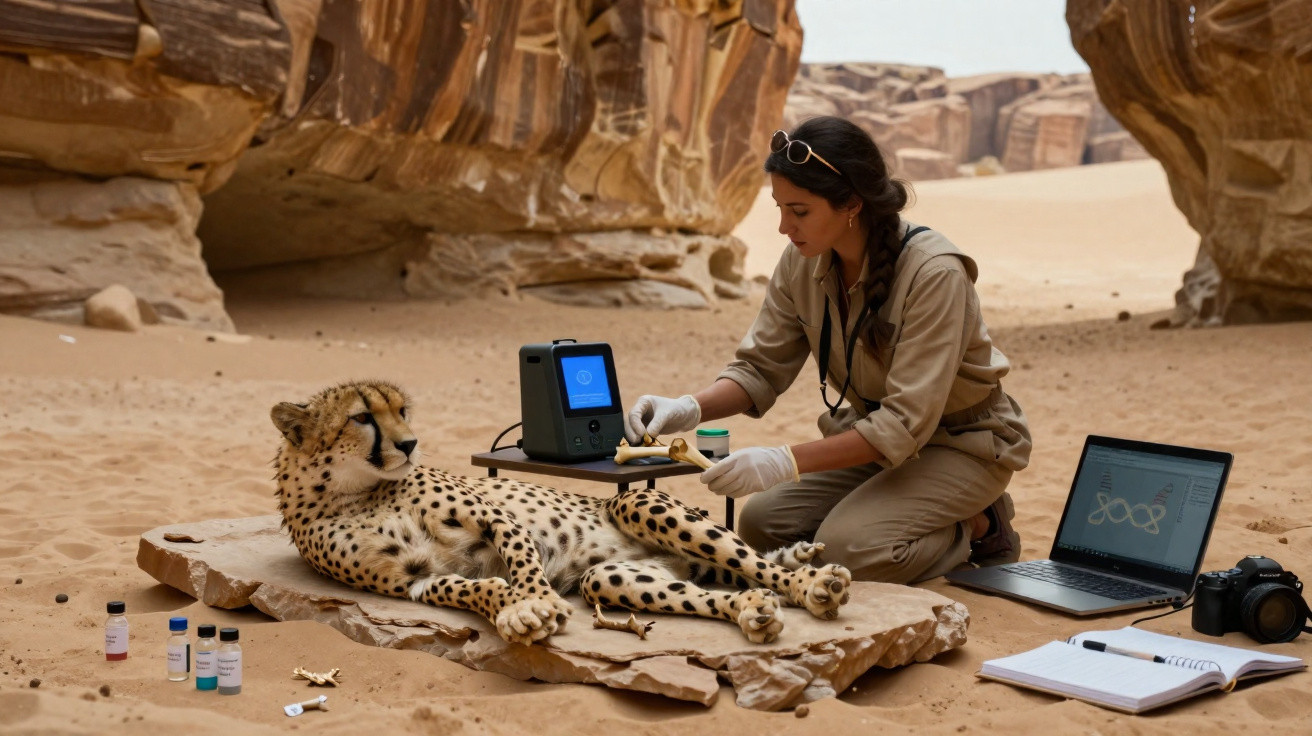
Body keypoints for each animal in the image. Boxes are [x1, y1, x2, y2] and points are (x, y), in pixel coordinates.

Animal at [271, 380, 852, 645]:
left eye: (402, 411)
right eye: (362, 417)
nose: (411, 443)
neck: (354, 491)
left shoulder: (496, 517)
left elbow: (522, 561)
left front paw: (537, 602)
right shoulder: (413, 581)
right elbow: (467, 588)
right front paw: (515, 610)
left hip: (634, 500)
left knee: (754, 562)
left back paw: (813, 583)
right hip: (613, 577)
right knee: (713, 592)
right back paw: (753, 610)